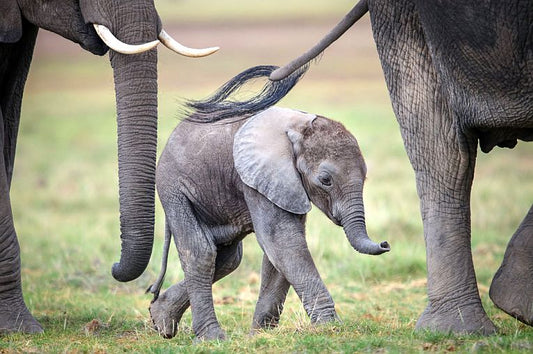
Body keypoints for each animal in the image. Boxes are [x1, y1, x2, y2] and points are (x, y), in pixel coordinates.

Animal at [148, 106, 388, 342]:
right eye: (325, 180)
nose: (385, 244)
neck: (297, 128)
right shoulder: (259, 178)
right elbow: (283, 242)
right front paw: (330, 327)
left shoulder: (287, 186)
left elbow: (278, 252)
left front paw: (259, 335)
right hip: (173, 188)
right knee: (201, 254)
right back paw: (210, 338)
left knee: (228, 259)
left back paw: (160, 319)